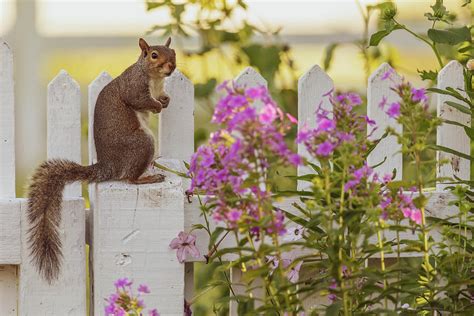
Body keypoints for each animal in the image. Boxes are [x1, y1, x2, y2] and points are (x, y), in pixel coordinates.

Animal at [25, 37, 176, 284]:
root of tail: (109, 165)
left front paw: (165, 100)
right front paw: (156, 105)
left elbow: (162, 96)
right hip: (142, 143)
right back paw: (147, 178)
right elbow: (138, 99)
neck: (154, 79)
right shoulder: (134, 87)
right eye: (154, 55)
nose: (171, 66)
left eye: (173, 53)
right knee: (129, 178)